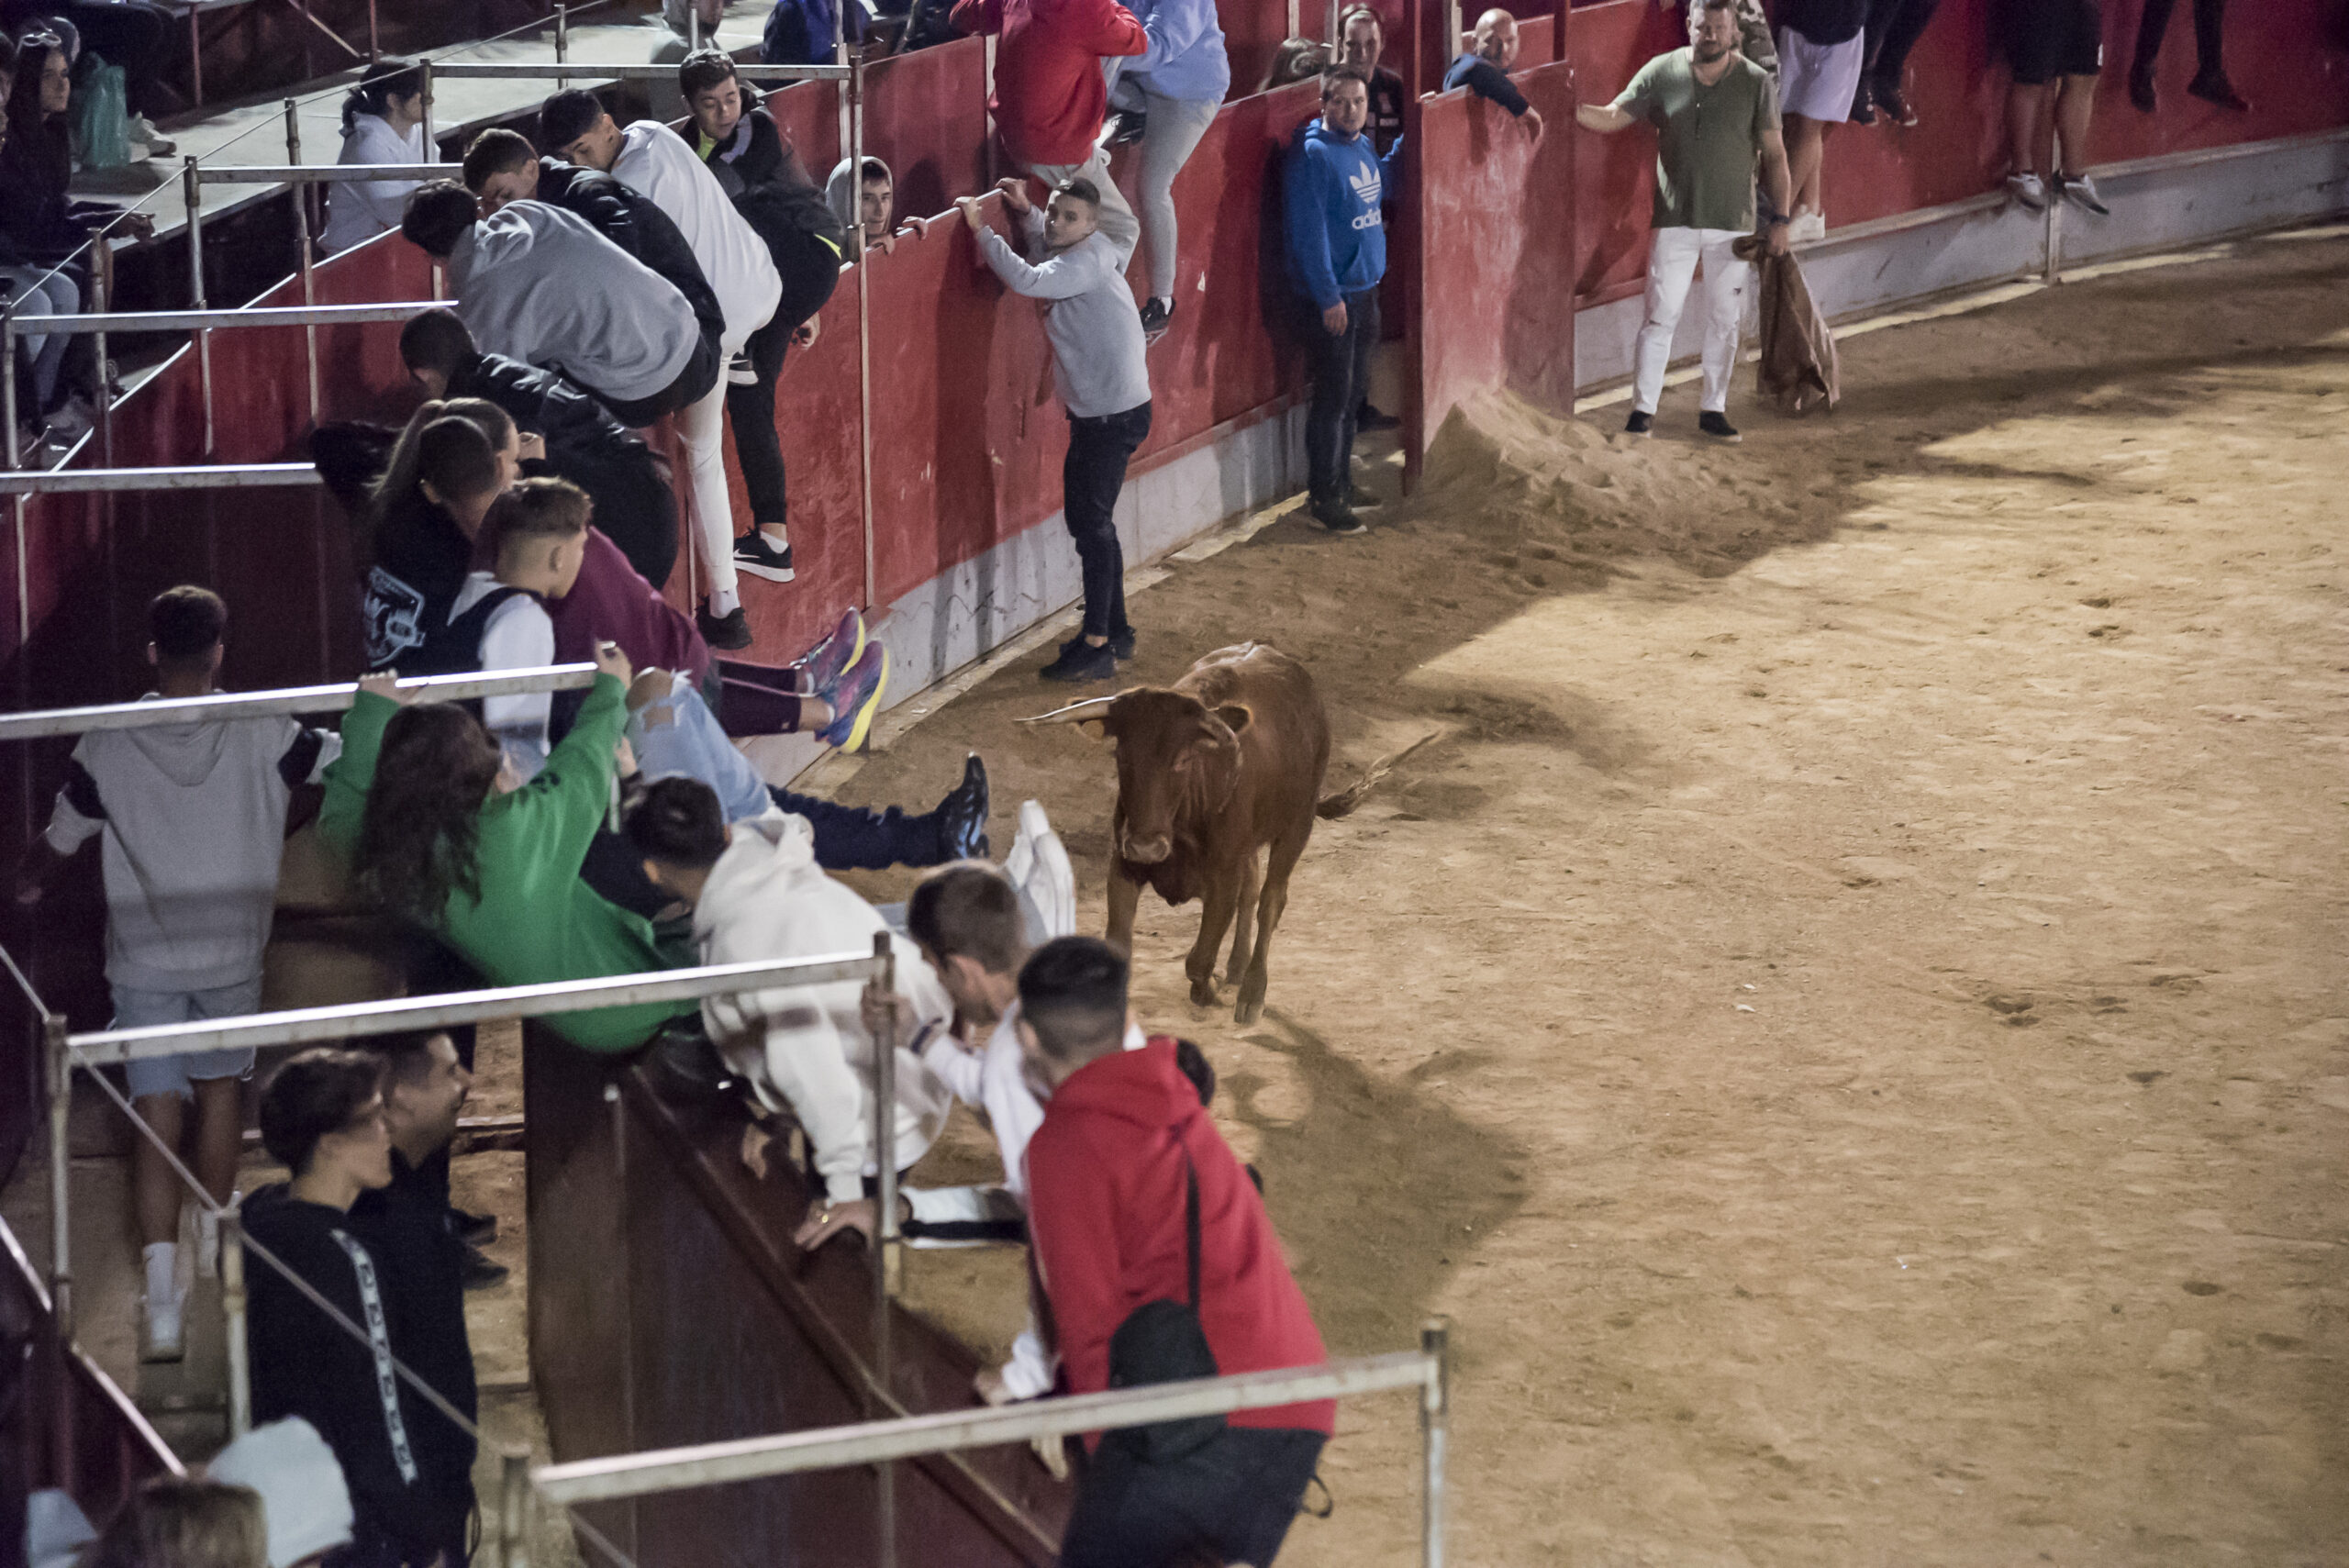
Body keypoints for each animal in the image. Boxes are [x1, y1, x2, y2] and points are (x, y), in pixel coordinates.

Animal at [1029, 638, 1343, 1023]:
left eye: (1182, 759)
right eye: (1121, 756)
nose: (1146, 847)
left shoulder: (1224, 877)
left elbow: (1199, 959)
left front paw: (1205, 992)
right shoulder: (1123, 865)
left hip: (1297, 825)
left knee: (1271, 900)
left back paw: (1252, 992)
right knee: (1253, 887)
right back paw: (1236, 968)